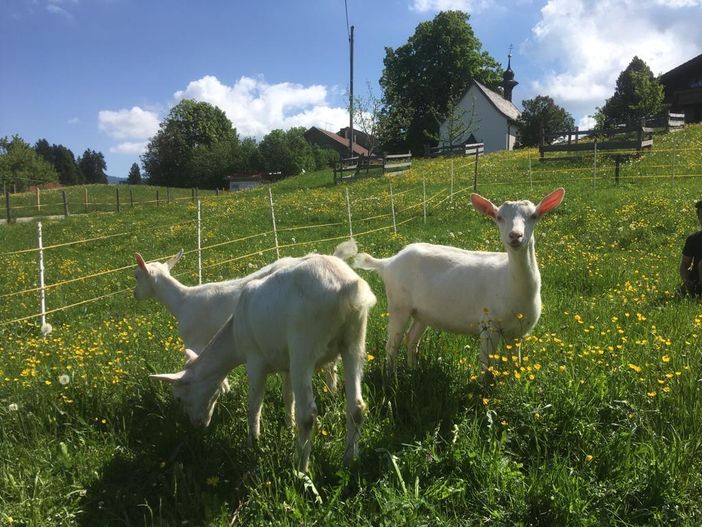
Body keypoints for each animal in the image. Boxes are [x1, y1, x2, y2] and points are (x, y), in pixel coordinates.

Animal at [151, 254, 376, 472]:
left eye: (179, 398)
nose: (197, 425)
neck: (235, 335)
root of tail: (348, 288)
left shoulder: (255, 361)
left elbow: (254, 405)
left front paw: (253, 443)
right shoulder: (286, 364)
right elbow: (288, 396)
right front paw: (288, 426)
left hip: (303, 347)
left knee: (308, 415)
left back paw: (301, 469)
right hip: (354, 341)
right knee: (356, 406)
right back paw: (349, 460)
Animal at [352, 188, 568, 374]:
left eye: (534, 216)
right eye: (499, 217)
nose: (515, 236)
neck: (509, 281)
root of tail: (388, 262)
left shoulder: (519, 333)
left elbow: (515, 365)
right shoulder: (488, 325)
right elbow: (485, 366)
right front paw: (483, 390)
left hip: (422, 312)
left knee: (411, 338)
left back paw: (413, 369)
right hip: (399, 304)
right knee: (392, 344)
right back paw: (391, 376)